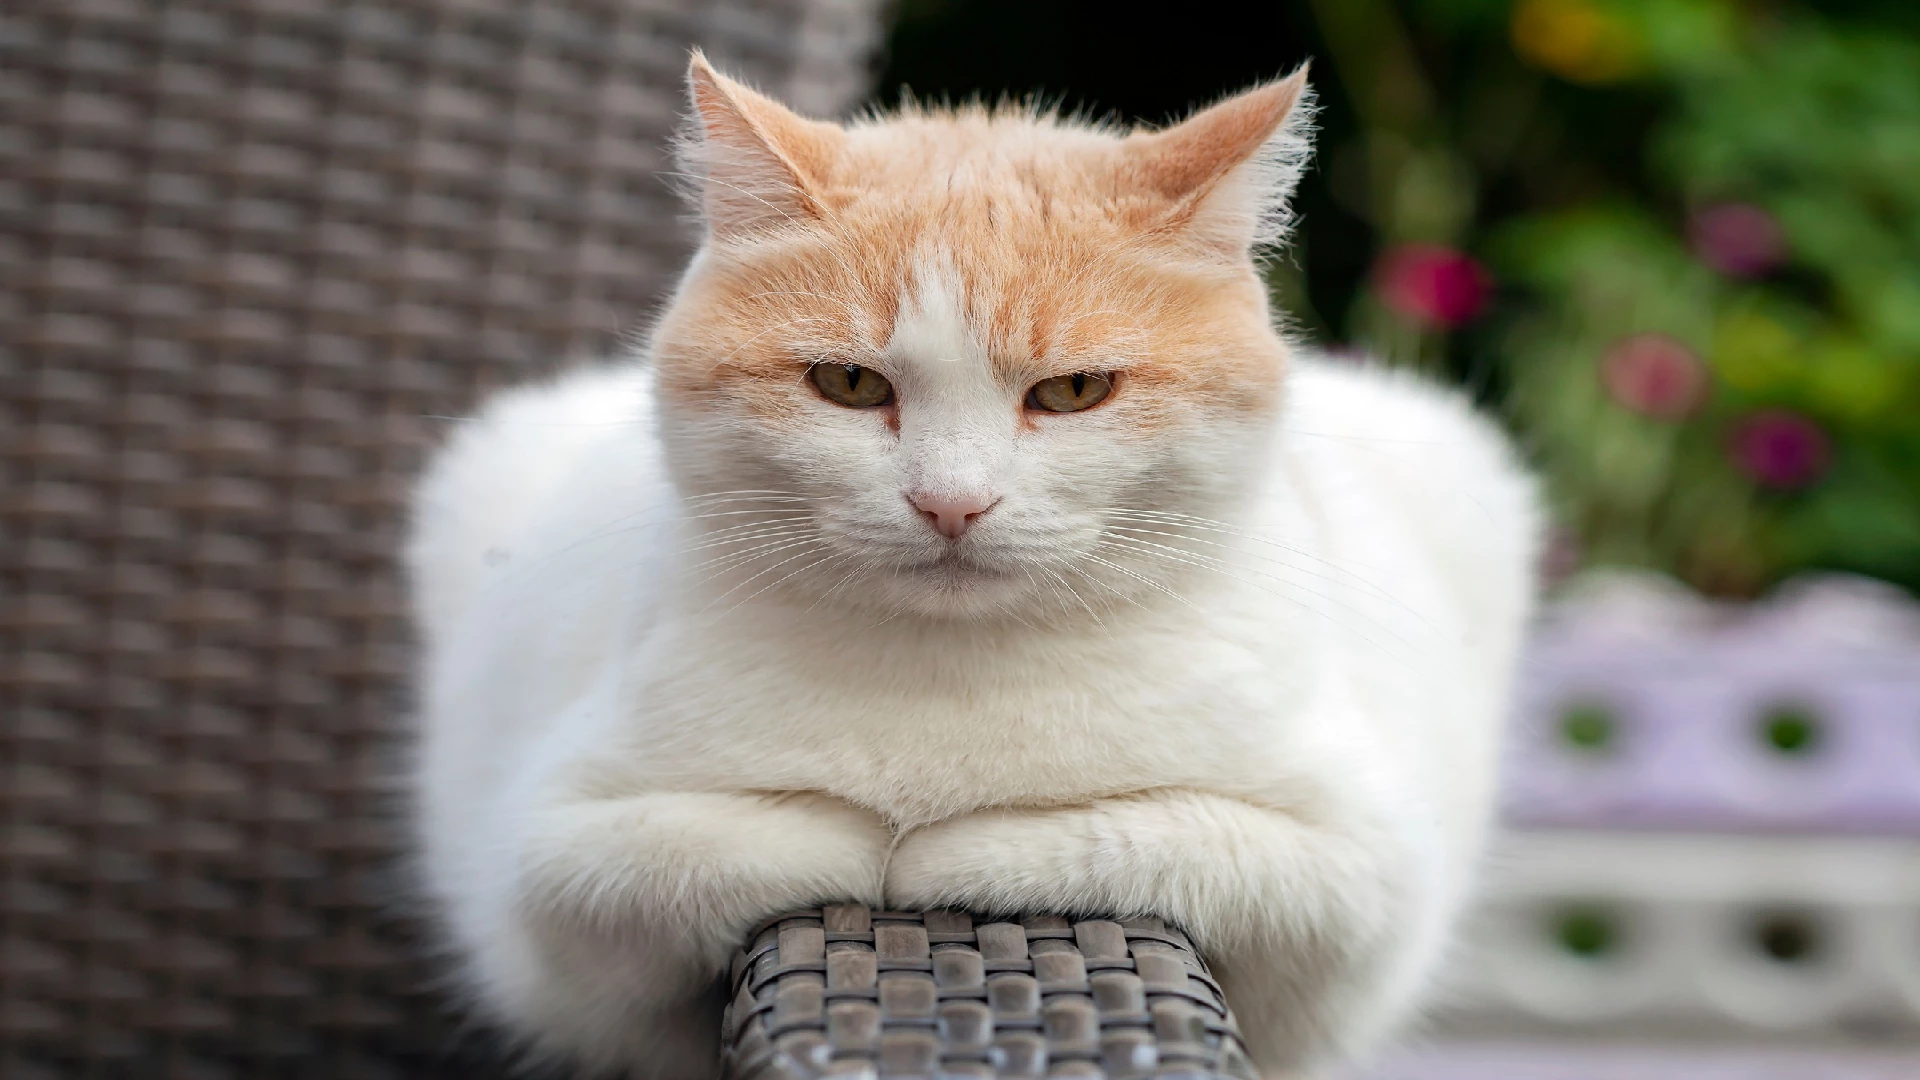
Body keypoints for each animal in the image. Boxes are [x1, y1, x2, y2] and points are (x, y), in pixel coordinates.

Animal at [408, 50, 1543, 1076]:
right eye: (850, 384)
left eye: (1075, 391)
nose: (950, 501)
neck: (955, 678)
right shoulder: (550, 868)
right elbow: (740, 847)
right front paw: (877, 838)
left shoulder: (1359, 881)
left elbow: (1128, 836)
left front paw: (952, 844)